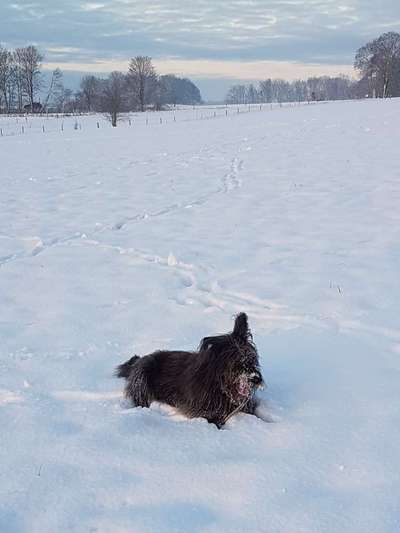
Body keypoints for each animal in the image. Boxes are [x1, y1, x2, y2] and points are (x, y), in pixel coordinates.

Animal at [115, 312, 264, 428]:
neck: (221, 385)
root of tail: (136, 363)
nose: (256, 379)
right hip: (143, 373)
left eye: (252, 359)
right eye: (237, 362)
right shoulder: (203, 411)